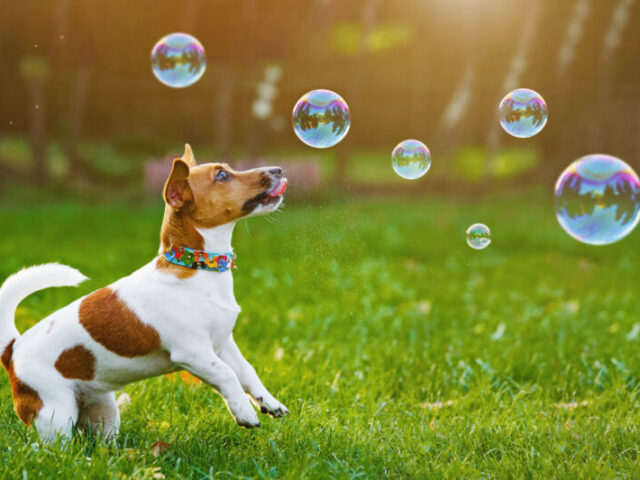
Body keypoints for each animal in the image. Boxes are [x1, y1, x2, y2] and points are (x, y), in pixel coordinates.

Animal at [0, 145, 288, 442]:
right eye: (222, 176)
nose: (278, 169)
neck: (196, 267)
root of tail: (12, 350)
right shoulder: (193, 353)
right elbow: (227, 375)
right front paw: (244, 412)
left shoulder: (223, 344)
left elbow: (246, 371)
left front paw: (269, 402)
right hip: (56, 414)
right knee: (54, 447)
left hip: (103, 410)